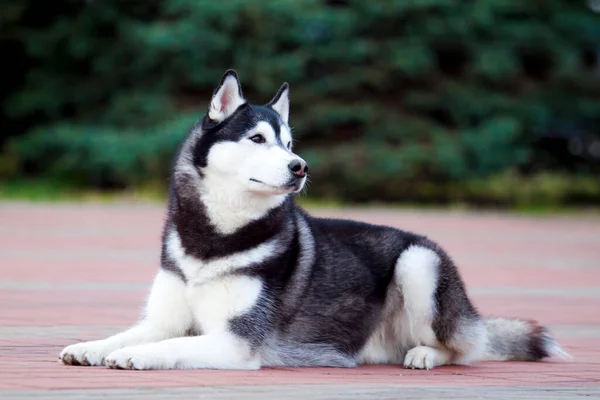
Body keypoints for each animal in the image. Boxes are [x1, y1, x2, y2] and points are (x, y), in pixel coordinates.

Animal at [59, 70, 568, 370]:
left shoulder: (235, 342)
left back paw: (426, 353)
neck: (216, 236)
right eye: (258, 138)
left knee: (466, 348)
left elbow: (165, 347)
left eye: (288, 143)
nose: (300, 166)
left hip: (418, 263)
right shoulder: (164, 317)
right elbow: (131, 333)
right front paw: (92, 346)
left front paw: (133, 354)